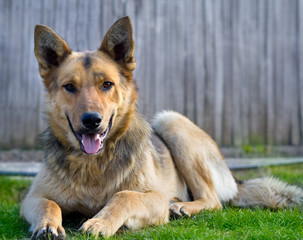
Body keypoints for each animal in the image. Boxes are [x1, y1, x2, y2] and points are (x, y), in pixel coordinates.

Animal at [21, 15, 303, 239]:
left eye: (107, 85)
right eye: (69, 87)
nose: (92, 120)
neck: (94, 164)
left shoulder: (154, 197)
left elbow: (123, 196)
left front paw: (100, 222)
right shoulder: (32, 198)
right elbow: (49, 205)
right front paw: (48, 226)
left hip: (171, 122)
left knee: (213, 201)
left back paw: (182, 207)